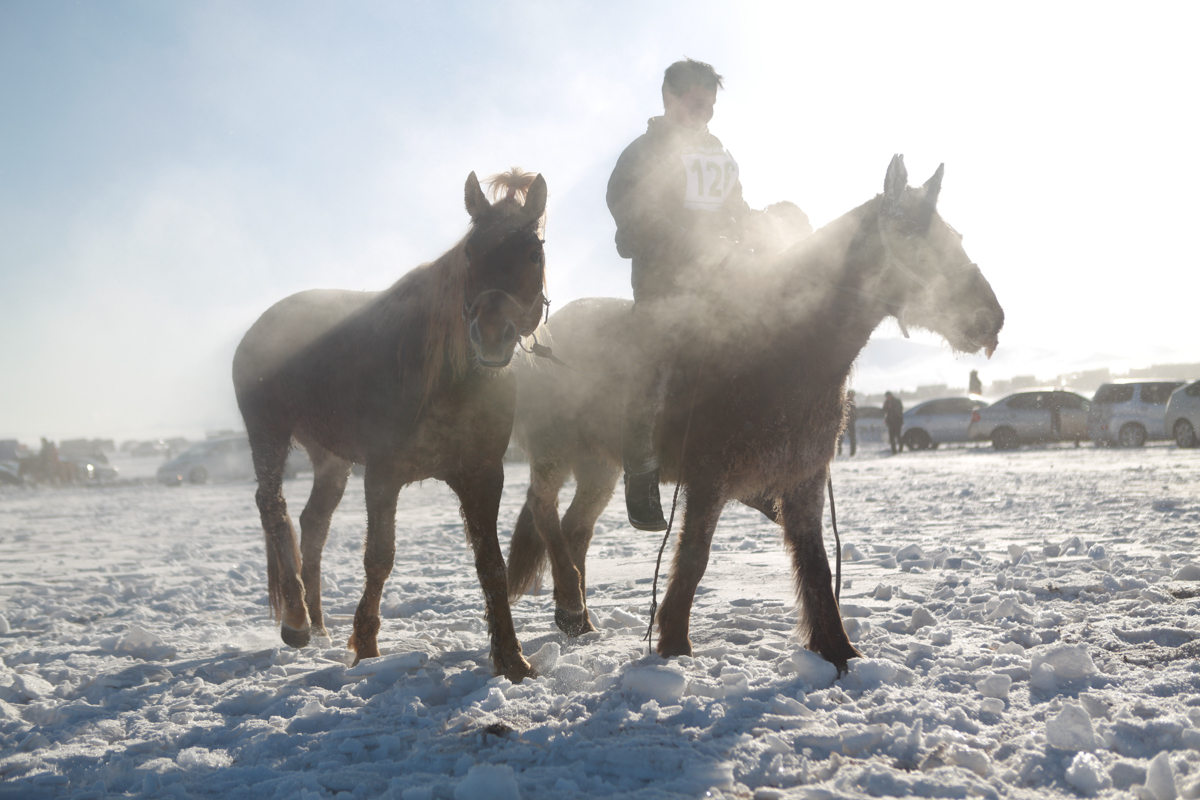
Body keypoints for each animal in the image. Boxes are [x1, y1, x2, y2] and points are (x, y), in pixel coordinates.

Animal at [233, 169, 549, 682]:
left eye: (534, 253)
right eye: (470, 253)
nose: (491, 335)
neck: (446, 379)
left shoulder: (482, 476)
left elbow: (491, 564)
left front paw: (512, 658)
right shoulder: (383, 474)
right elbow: (379, 558)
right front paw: (365, 647)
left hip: (331, 458)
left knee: (313, 522)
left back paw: (317, 623)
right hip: (269, 433)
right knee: (272, 506)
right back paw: (296, 620)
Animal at [507, 155, 1004, 673]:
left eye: (955, 238)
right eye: (910, 237)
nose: (992, 319)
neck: (784, 353)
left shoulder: (803, 481)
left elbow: (815, 562)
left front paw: (838, 651)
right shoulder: (708, 480)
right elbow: (694, 558)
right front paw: (674, 644)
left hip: (599, 467)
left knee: (575, 528)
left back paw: (577, 617)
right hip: (555, 450)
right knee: (544, 511)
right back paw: (569, 602)